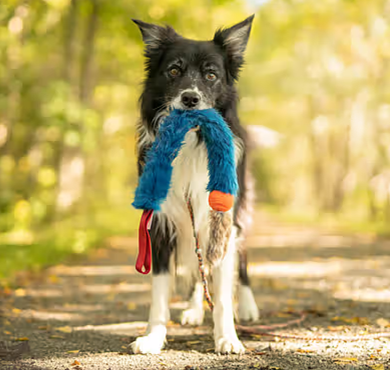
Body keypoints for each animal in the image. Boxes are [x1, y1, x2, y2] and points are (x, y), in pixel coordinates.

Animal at [130, 15, 258, 356]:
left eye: (211, 75)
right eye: (174, 70)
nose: (190, 99)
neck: (191, 140)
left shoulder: (223, 217)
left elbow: (223, 293)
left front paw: (227, 338)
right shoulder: (160, 222)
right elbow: (160, 290)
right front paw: (153, 336)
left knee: (240, 262)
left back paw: (248, 306)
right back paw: (193, 309)